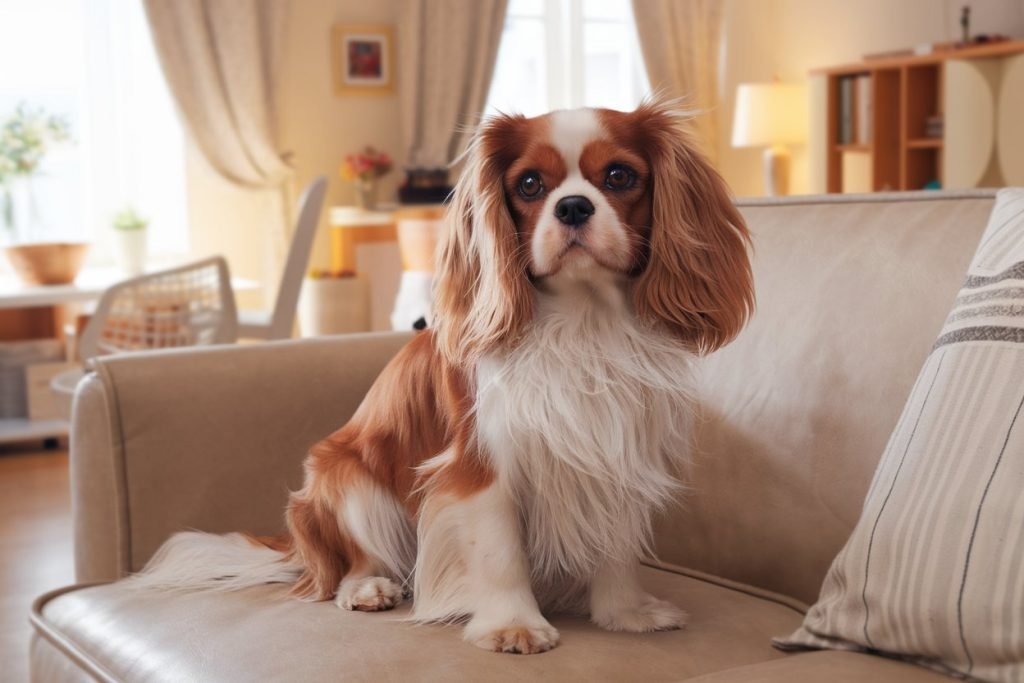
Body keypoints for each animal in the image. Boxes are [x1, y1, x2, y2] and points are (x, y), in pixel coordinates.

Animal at [138, 98, 753, 655]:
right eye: (530, 184)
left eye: (620, 176)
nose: (574, 207)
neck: (582, 321)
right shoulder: (479, 461)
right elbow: (500, 550)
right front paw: (513, 626)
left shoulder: (613, 450)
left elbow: (615, 543)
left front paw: (625, 614)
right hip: (347, 479)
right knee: (347, 567)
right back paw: (368, 588)